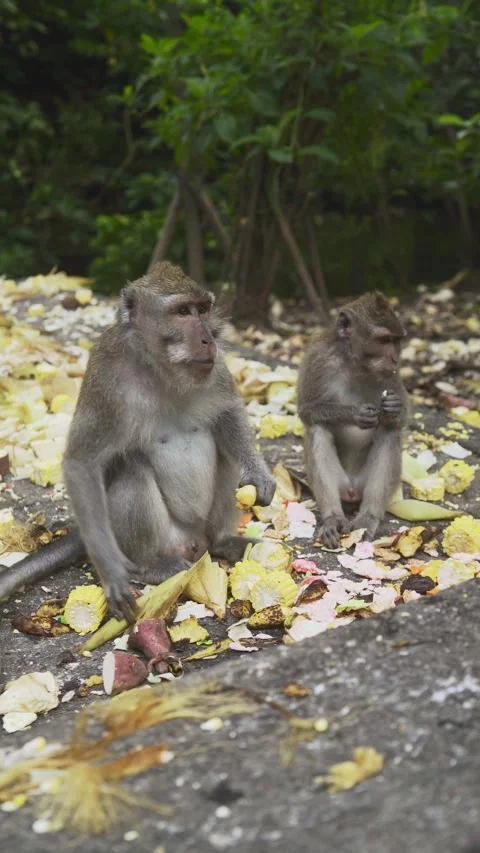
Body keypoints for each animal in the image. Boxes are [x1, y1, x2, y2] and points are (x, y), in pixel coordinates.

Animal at [0, 262, 276, 620]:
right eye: (183, 312)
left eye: (203, 309)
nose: (208, 339)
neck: (161, 370)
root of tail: (194, 542)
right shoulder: (106, 378)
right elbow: (81, 461)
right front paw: (112, 572)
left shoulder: (214, 369)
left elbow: (226, 413)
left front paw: (259, 474)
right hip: (153, 539)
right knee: (133, 470)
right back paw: (148, 567)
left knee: (224, 453)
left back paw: (223, 541)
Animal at [297, 291, 407, 548]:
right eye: (384, 340)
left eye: (396, 341)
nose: (395, 359)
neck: (356, 366)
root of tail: (351, 488)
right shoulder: (318, 360)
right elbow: (307, 410)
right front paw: (354, 413)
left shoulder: (392, 376)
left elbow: (398, 420)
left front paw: (395, 408)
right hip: (339, 484)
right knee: (318, 430)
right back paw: (333, 518)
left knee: (389, 433)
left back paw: (368, 517)